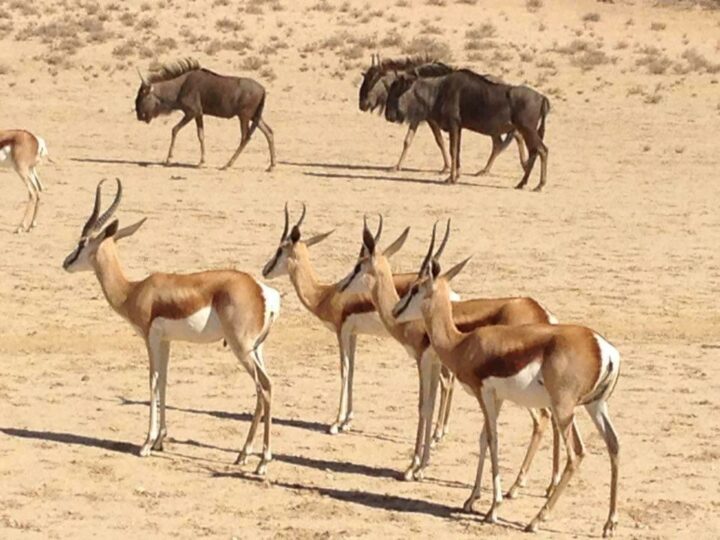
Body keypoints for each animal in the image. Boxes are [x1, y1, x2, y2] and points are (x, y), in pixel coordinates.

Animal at [60, 180, 280, 472]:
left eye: (82, 242)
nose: (66, 262)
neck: (134, 291)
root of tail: (261, 291)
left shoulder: (150, 338)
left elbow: (152, 381)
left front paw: (146, 444)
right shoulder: (166, 341)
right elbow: (164, 380)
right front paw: (159, 441)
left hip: (241, 348)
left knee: (264, 387)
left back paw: (262, 462)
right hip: (256, 349)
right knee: (263, 388)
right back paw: (243, 455)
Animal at [135, 58, 276, 170]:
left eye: (141, 96)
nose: (139, 116)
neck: (181, 86)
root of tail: (263, 89)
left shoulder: (192, 112)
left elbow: (174, 129)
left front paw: (169, 159)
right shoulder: (199, 114)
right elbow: (201, 135)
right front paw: (201, 162)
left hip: (244, 116)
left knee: (245, 137)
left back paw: (227, 164)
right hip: (255, 117)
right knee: (269, 132)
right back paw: (271, 165)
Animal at [340, 216, 560, 490]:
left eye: (358, 266)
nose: (341, 286)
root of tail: (541, 313)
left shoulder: (423, 360)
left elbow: (424, 406)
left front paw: (413, 468)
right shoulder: (435, 364)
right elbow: (433, 403)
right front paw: (421, 465)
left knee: (542, 418)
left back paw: (516, 486)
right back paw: (546, 484)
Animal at [390, 227, 620, 536]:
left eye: (415, 288)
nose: (395, 310)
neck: (463, 343)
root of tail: (602, 347)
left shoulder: (483, 393)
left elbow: (493, 439)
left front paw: (493, 509)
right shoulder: (495, 398)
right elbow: (483, 440)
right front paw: (471, 500)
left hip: (563, 410)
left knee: (576, 455)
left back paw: (535, 521)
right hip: (594, 406)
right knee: (614, 445)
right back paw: (609, 524)